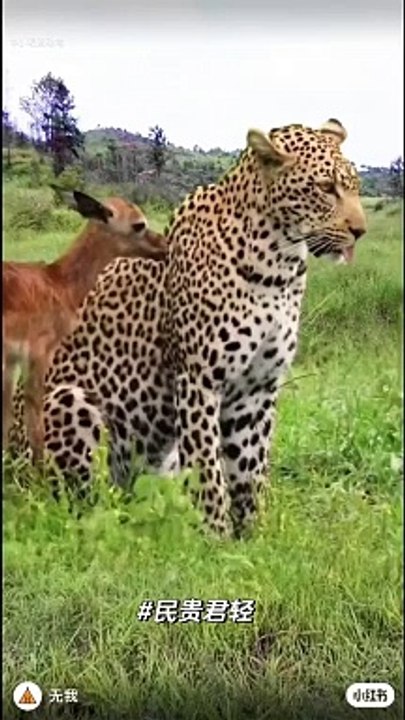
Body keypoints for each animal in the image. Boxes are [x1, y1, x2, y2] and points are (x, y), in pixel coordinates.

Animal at [2, 189, 168, 465]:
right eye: (138, 224)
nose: (165, 245)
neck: (59, 284)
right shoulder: (38, 352)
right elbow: (35, 422)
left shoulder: (13, 360)